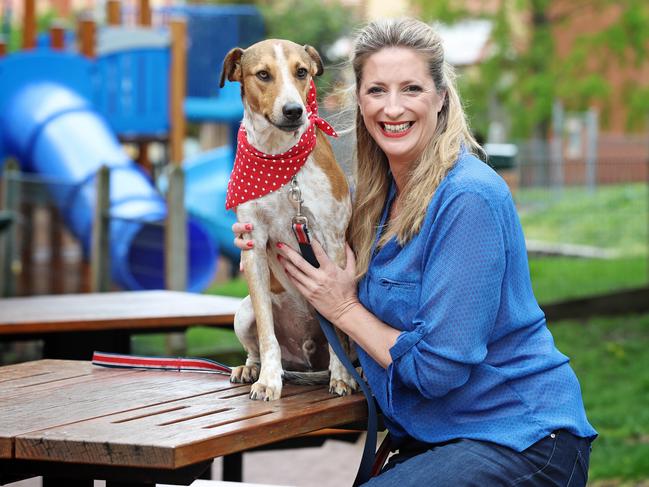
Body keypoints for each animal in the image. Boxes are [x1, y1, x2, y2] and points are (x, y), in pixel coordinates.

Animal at [220, 40, 356, 402]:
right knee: (256, 342)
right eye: (263, 74)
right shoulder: (252, 244)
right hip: (243, 313)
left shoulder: (333, 242)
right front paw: (268, 380)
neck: (280, 158)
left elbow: (339, 328)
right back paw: (250, 368)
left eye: (302, 71)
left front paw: (342, 378)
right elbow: (267, 334)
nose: (294, 110)